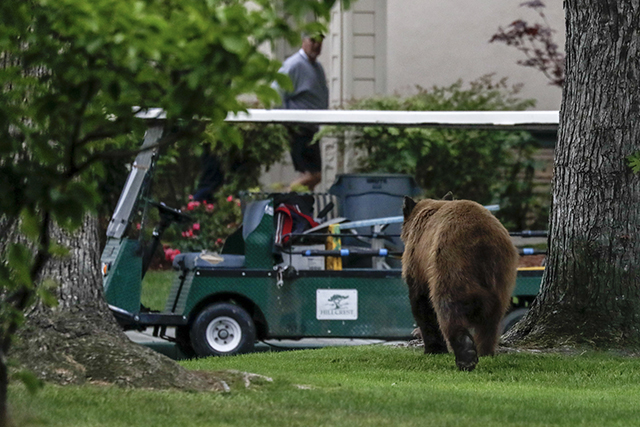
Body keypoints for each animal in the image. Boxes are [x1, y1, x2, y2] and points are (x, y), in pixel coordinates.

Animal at [400, 197, 520, 372]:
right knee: (492, 319)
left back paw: (466, 356)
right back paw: (486, 350)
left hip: (450, 262)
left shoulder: (418, 264)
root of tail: (483, 238)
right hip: (502, 273)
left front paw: (433, 348)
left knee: (448, 307)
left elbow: (421, 303)